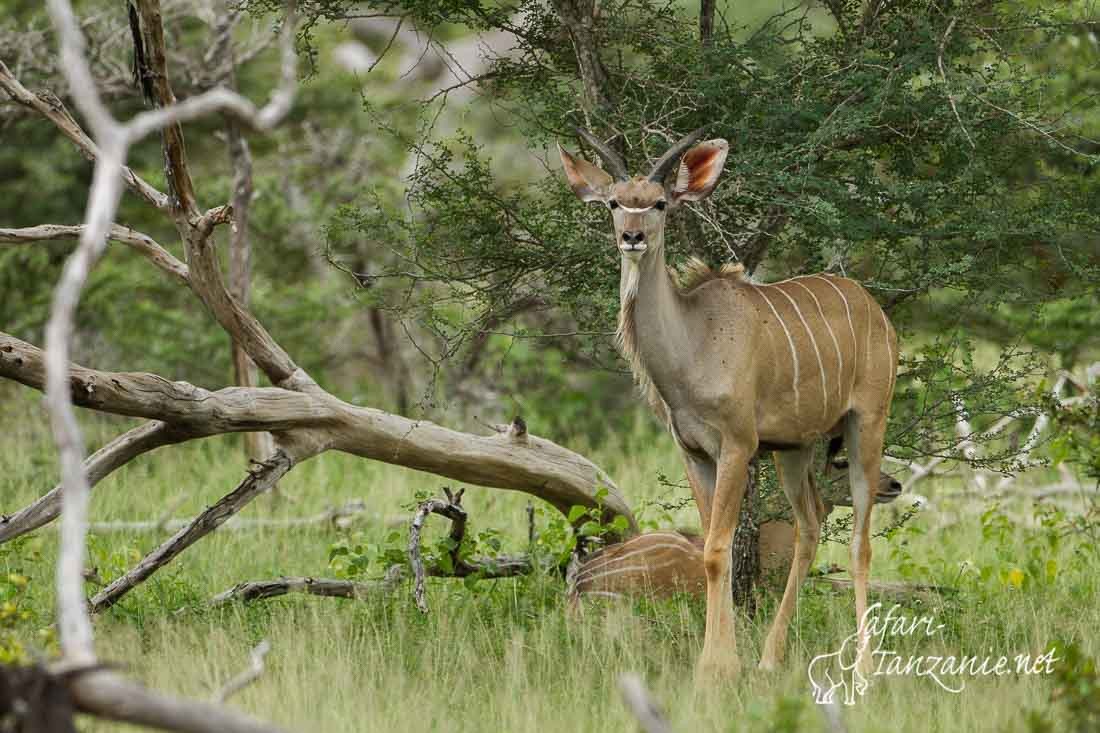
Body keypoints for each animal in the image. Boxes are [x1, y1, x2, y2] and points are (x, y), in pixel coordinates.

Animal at [554, 128, 897, 677]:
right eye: (613, 202)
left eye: (660, 203)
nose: (632, 237)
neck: (693, 344)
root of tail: (875, 309)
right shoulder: (695, 452)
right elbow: (718, 548)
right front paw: (727, 662)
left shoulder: (737, 445)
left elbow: (718, 549)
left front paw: (712, 671)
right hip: (795, 448)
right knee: (809, 525)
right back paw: (769, 659)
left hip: (868, 421)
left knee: (860, 541)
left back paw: (864, 667)